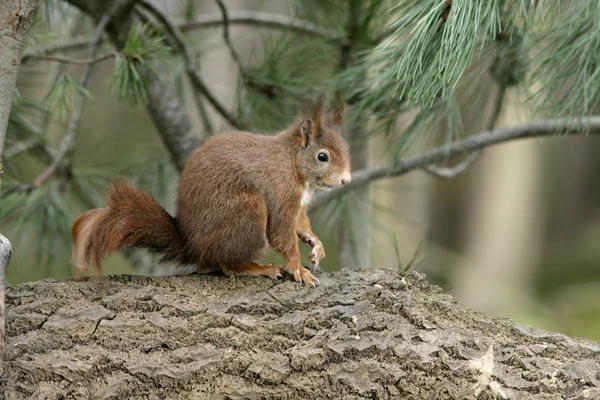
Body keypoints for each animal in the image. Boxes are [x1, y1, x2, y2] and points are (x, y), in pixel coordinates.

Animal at [70, 96, 352, 284]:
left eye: (346, 148)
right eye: (323, 156)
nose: (346, 180)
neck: (293, 163)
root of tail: (193, 246)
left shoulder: (298, 204)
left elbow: (301, 224)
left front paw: (315, 244)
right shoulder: (280, 193)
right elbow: (283, 233)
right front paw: (298, 269)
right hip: (247, 211)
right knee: (227, 265)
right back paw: (259, 268)